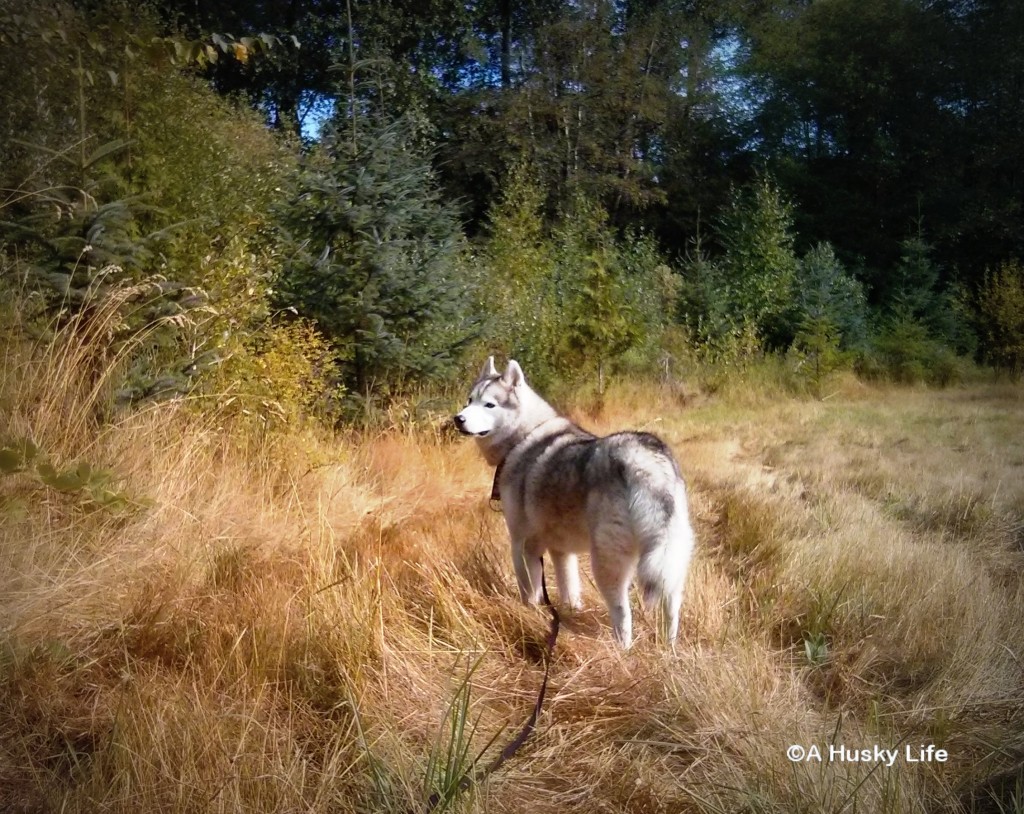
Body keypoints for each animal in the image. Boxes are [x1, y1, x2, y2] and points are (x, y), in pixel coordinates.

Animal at [456, 356, 696, 651]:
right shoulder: (561, 550)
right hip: (671, 556)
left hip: (607, 561)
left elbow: (529, 591)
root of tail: (645, 460)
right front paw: (571, 613)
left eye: (489, 404)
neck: (523, 436)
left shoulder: (522, 543)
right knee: (671, 606)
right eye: (469, 401)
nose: (458, 419)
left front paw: (528, 614)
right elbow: (569, 587)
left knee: (622, 612)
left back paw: (622, 650)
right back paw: (668, 648)